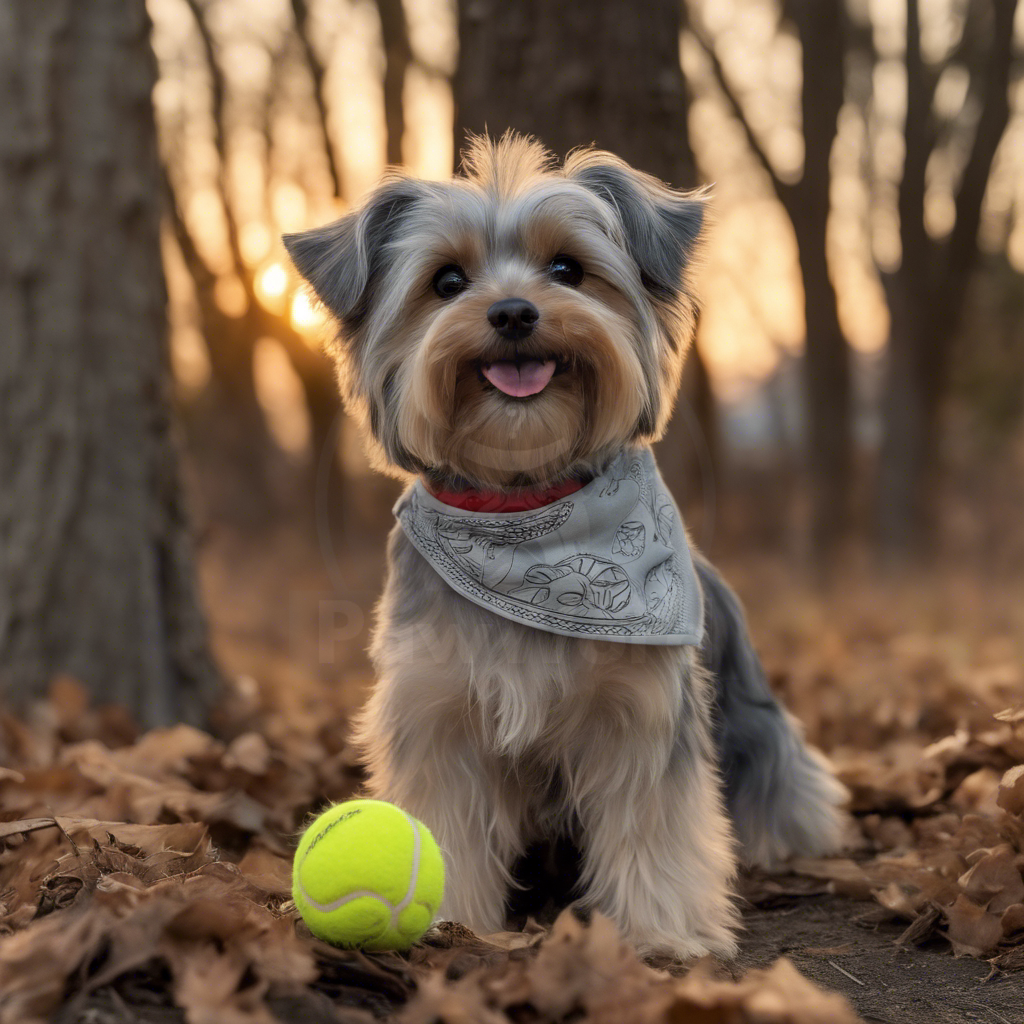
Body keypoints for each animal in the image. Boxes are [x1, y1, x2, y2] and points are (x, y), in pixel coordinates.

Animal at [282, 136, 847, 958]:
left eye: (567, 269)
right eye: (446, 282)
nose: (514, 311)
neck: (527, 513)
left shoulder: (640, 710)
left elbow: (654, 820)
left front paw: (662, 931)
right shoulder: (438, 706)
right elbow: (448, 816)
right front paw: (453, 919)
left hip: (754, 721)